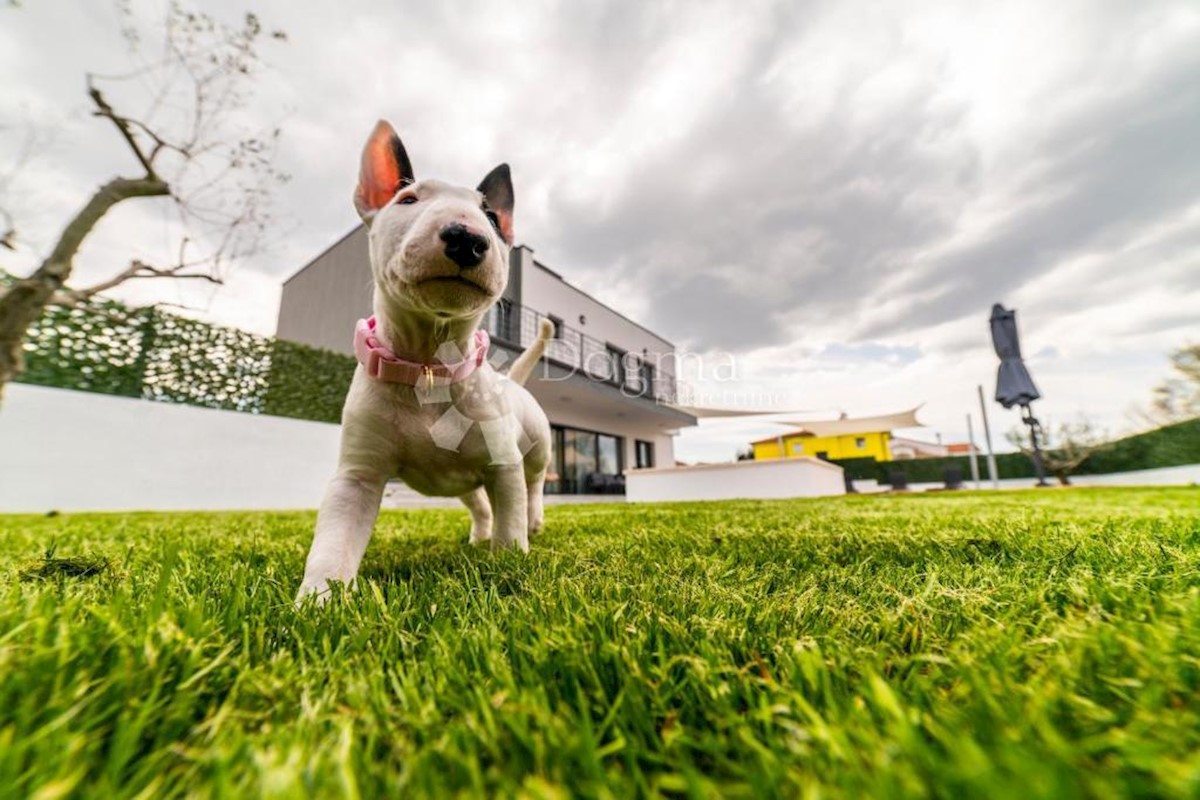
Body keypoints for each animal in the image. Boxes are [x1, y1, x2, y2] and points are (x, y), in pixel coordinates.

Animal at [295, 120, 552, 599]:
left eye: (492, 217)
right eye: (408, 200)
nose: (467, 238)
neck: (429, 367)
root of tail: (512, 381)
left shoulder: (502, 462)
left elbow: (510, 520)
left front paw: (510, 566)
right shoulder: (357, 475)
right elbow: (334, 541)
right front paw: (319, 599)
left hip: (537, 448)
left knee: (533, 485)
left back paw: (533, 521)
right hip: (463, 480)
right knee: (480, 505)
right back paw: (478, 537)